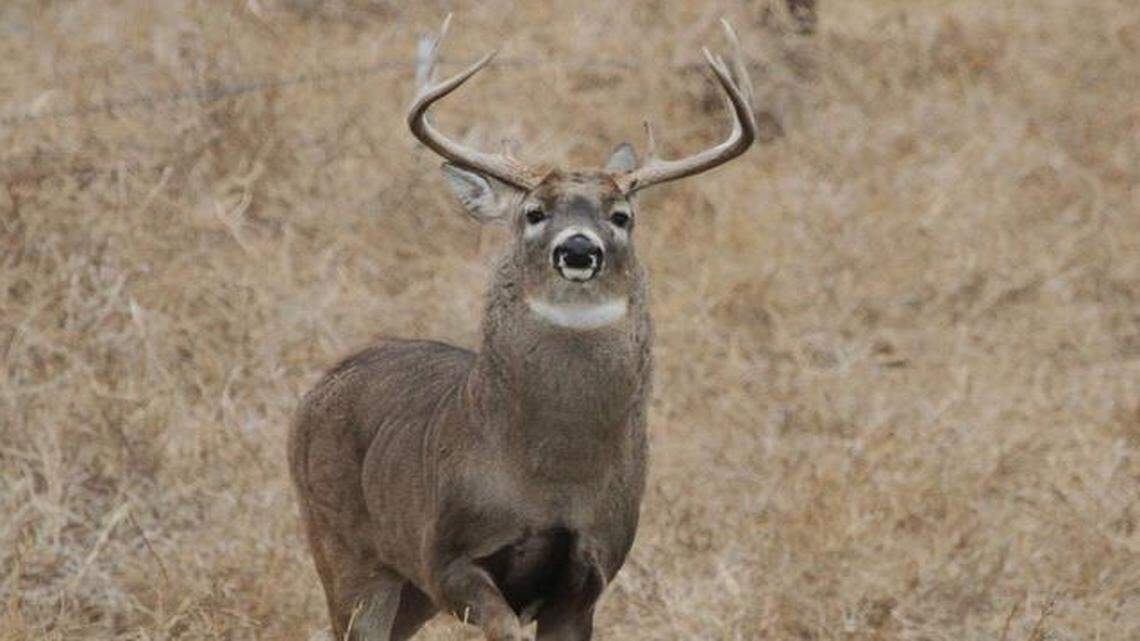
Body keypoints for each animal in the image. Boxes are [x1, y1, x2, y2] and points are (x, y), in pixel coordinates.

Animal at [288, 16, 757, 641]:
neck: (552, 478)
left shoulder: (588, 577)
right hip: (344, 546)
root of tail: (320, 386)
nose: (578, 249)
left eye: (621, 216)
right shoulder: (450, 559)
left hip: (407, 587)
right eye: (534, 213)